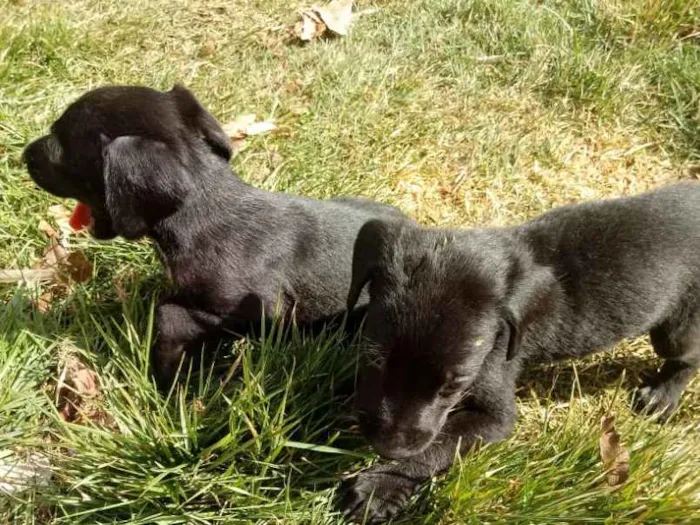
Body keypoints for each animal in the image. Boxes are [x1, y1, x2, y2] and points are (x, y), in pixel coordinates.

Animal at [344, 180, 700, 520]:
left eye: (454, 385)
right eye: (373, 359)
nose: (389, 449)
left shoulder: (494, 410)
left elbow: (441, 443)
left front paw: (381, 487)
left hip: (675, 329)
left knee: (687, 357)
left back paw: (662, 395)